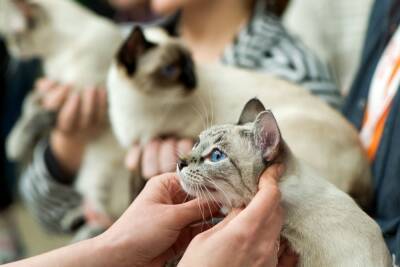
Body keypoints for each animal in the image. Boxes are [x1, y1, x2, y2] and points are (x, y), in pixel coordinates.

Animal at [0, 0, 141, 222]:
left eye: (12, 39)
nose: (11, 51)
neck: (57, 54)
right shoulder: (53, 86)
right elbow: (28, 104)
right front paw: (14, 141)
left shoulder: (87, 93)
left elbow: (42, 113)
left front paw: (12, 146)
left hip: (109, 184)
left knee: (114, 214)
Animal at [108, 26, 374, 209]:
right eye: (171, 70)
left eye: (190, 65)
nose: (194, 82)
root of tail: (365, 174)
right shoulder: (138, 148)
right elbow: (133, 187)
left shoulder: (163, 137)